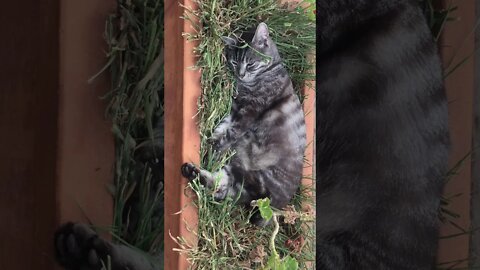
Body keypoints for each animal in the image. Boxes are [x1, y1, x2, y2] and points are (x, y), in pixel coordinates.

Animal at [182, 22, 306, 226]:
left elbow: (228, 135)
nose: (240, 75)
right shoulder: (235, 111)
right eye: (234, 62)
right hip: (240, 179)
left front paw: (213, 151)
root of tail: (274, 207)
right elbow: (222, 128)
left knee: (223, 187)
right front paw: (211, 142)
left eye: (250, 63)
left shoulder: (248, 113)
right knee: (221, 187)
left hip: (256, 177)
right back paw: (191, 172)